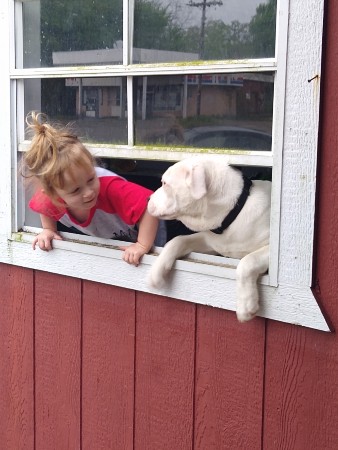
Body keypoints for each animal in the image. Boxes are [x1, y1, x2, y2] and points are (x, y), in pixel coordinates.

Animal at [148, 156, 272, 322]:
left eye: (165, 184)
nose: (147, 198)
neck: (233, 212)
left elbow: (248, 261)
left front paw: (246, 305)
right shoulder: (210, 242)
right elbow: (177, 240)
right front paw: (156, 272)